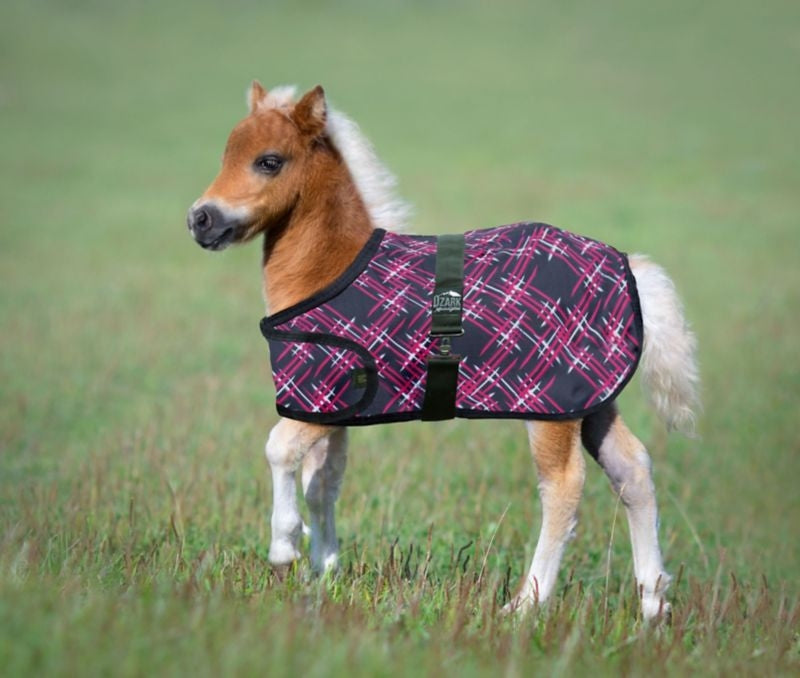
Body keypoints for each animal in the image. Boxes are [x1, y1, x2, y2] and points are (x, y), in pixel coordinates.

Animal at [186, 82, 699, 620]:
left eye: (269, 161)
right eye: (226, 154)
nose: (200, 219)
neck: (332, 266)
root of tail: (626, 265)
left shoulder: (329, 392)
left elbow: (279, 449)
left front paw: (284, 548)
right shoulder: (329, 408)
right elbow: (322, 482)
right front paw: (323, 574)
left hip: (551, 405)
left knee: (563, 487)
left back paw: (526, 605)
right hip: (593, 400)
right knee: (632, 469)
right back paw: (653, 604)